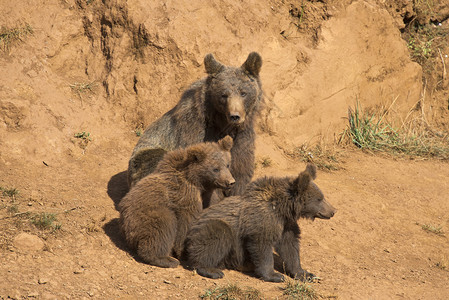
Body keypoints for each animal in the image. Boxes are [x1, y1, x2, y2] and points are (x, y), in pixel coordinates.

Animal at [119, 136, 234, 268]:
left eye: (227, 164)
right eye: (215, 169)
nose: (230, 182)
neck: (200, 182)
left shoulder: (208, 194)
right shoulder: (185, 195)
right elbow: (187, 221)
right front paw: (183, 251)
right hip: (147, 214)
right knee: (162, 228)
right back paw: (166, 259)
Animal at [126, 52, 262, 205]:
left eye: (243, 93)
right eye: (224, 94)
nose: (235, 116)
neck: (222, 124)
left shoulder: (243, 138)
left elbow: (240, 171)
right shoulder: (195, 131)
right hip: (144, 156)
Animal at [184, 163, 334, 282]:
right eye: (319, 199)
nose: (333, 211)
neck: (281, 209)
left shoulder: (286, 225)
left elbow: (290, 247)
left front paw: (305, 274)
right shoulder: (262, 221)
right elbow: (262, 246)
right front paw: (275, 275)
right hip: (206, 230)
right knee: (216, 236)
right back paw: (211, 270)